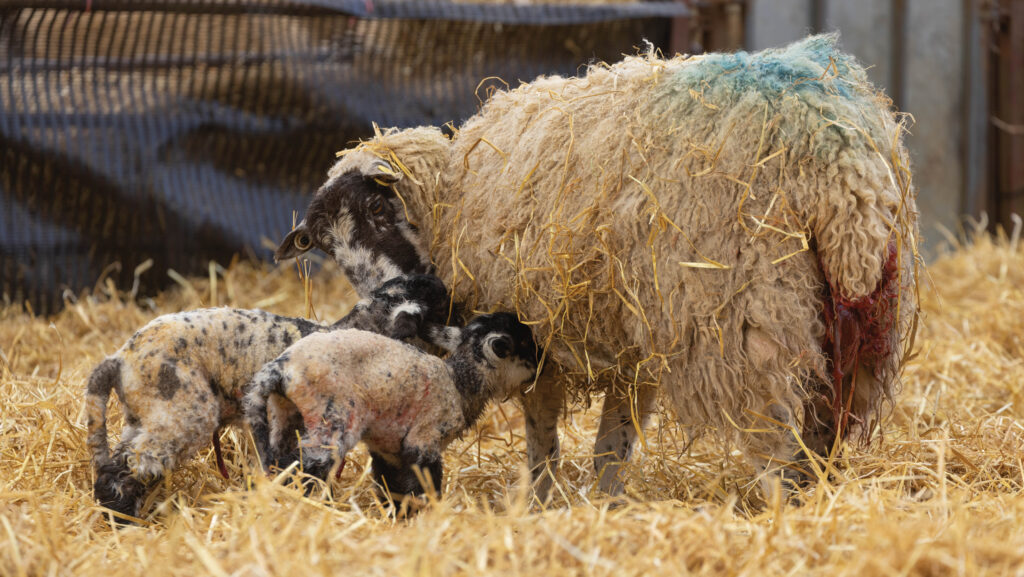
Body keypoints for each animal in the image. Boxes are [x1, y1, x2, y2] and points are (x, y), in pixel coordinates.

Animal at [85, 273, 452, 521]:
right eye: (434, 304)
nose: (442, 284)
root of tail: (120, 358)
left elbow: (287, 463)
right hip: (182, 409)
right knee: (136, 463)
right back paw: (124, 519)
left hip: (146, 413)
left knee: (119, 461)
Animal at [243, 313, 540, 501]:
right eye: (525, 345)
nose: (542, 362)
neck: (459, 383)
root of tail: (280, 368)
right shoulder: (424, 439)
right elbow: (425, 485)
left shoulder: (389, 449)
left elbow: (393, 486)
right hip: (333, 419)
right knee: (302, 465)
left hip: (285, 414)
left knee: (277, 460)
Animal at [274, 35, 920, 500]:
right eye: (327, 249)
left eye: (379, 211)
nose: (390, 314)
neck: (456, 194)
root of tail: (842, 169)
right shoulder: (633, 338)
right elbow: (615, 437)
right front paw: (604, 501)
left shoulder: (537, 331)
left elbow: (543, 433)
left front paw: (541, 499)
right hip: (857, 328)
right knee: (824, 429)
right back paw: (816, 498)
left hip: (748, 319)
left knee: (777, 434)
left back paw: (780, 511)